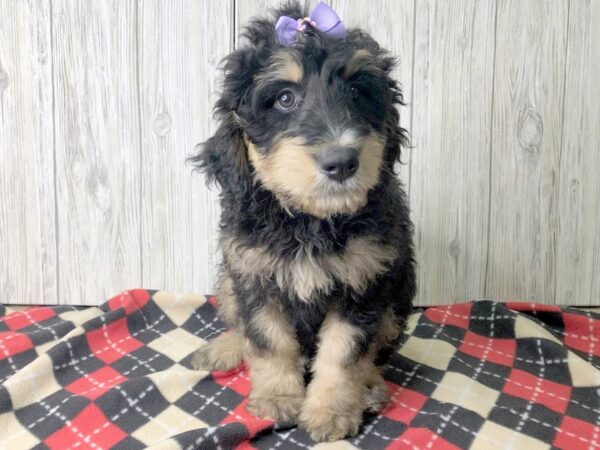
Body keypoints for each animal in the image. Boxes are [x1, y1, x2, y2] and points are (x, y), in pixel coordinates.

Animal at [190, 0, 414, 442]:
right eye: (285, 98)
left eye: (356, 91)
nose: (341, 161)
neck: (310, 220)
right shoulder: (254, 274)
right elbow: (267, 339)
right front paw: (278, 398)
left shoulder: (364, 282)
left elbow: (344, 353)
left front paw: (331, 411)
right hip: (229, 282)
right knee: (239, 324)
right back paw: (223, 348)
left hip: (396, 302)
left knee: (376, 353)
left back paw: (370, 388)